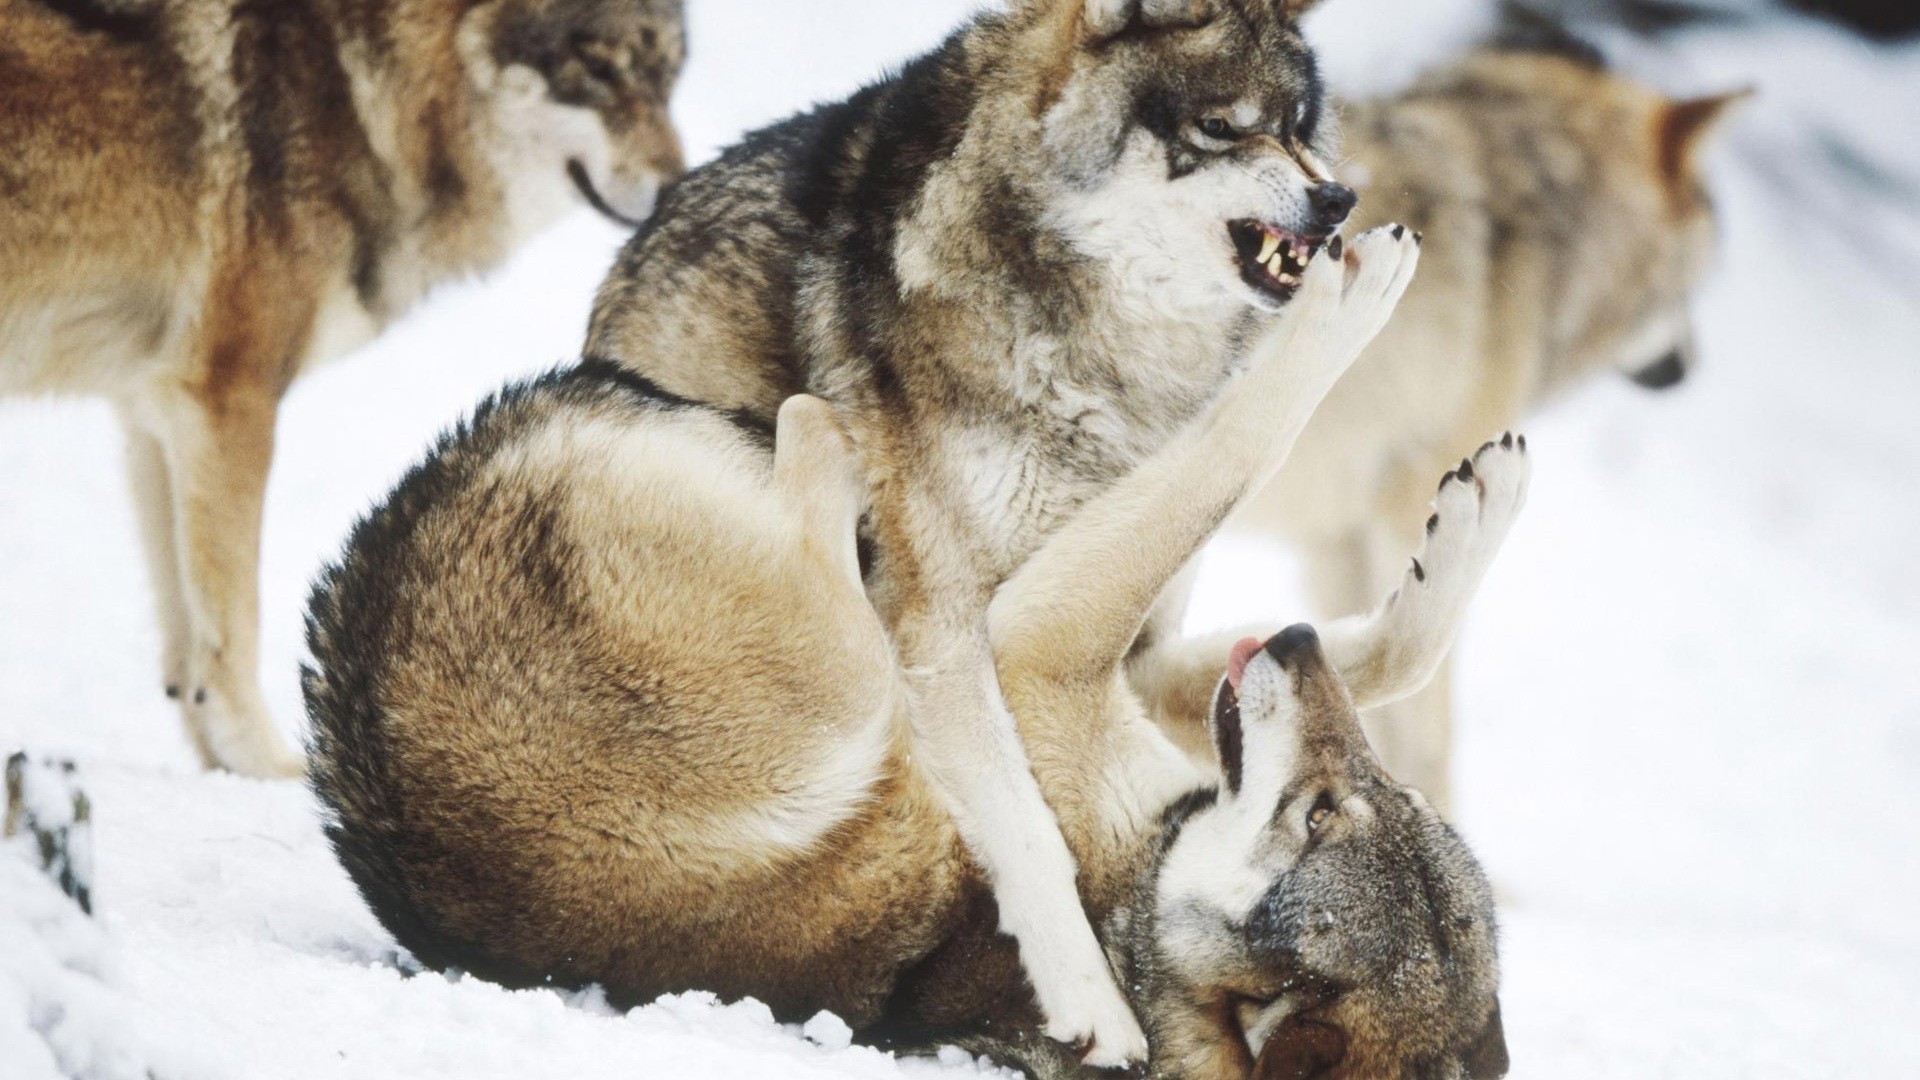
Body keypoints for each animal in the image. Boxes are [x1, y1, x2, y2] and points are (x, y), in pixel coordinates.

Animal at [0, 0, 691, 772]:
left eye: (669, 77)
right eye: (597, 68)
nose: (681, 185)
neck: (358, 88)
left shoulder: (153, 412)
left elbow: (186, 647)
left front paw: (222, 775)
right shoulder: (228, 402)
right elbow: (232, 630)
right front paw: (268, 771)